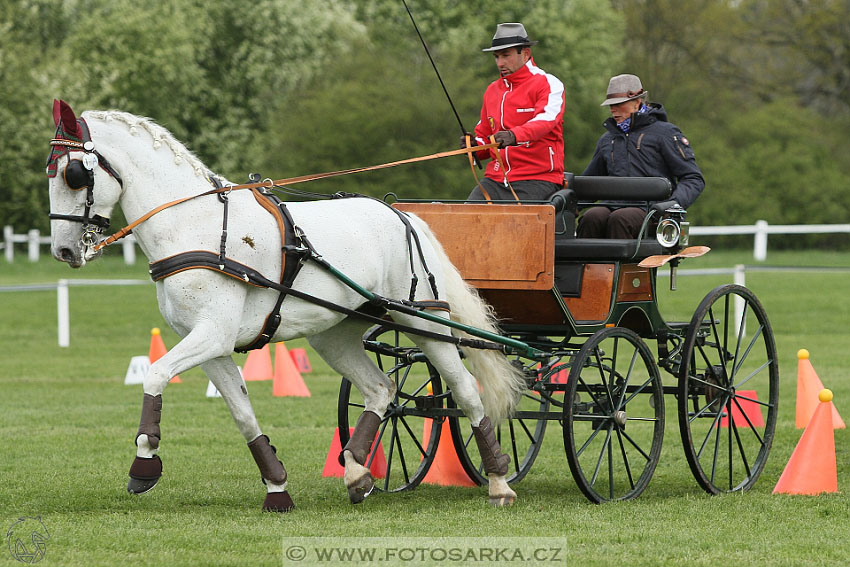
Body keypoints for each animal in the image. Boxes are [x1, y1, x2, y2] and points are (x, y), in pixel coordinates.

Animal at [48, 100, 524, 512]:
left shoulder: (212, 335)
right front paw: (277, 487)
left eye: (72, 174)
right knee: (381, 390)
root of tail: (404, 216)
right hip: (335, 334)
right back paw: (357, 474)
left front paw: (144, 464)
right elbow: (242, 414)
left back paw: (499, 481)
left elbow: (155, 374)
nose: (63, 251)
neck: (197, 227)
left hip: (422, 320)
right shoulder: (210, 345)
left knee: (466, 390)